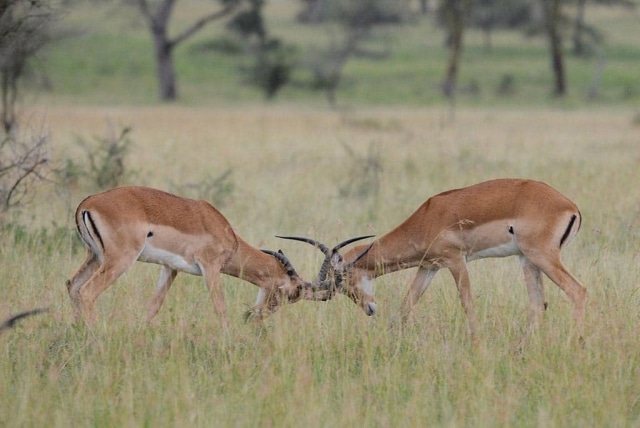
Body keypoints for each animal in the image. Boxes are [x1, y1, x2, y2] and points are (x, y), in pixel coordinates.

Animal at [66, 186, 371, 326]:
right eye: (289, 293)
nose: (257, 317)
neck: (228, 236)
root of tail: (87, 203)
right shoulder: (210, 268)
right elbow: (220, 308)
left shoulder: (170, 268)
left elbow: (153, 307)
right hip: (119, 260)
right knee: (88, 292)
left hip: (94, 257)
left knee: (73, 286)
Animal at [282, 178, 587, 340]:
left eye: (344, 281)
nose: (369, 308)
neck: (426, 218)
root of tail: (571, 206)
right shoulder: (429, 267)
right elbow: (406, 304)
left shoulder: (455, 261)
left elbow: (467, 302)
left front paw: (476, 343)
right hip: (527, 260)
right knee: (538, 303)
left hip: (542, 257)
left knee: (577, 290)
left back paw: (576, 344)